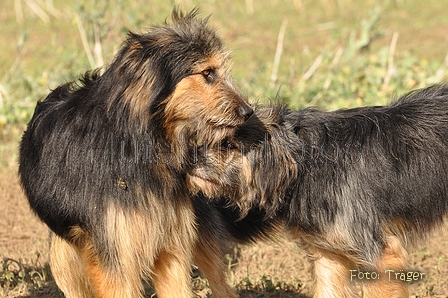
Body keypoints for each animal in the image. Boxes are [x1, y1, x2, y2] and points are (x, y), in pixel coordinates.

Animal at [17, 9, 254, 298]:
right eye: (207, 72)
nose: (248, 112)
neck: (143, 145)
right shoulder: (114, 252)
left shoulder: (172, 244)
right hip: (65, 257)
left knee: (219, 280)